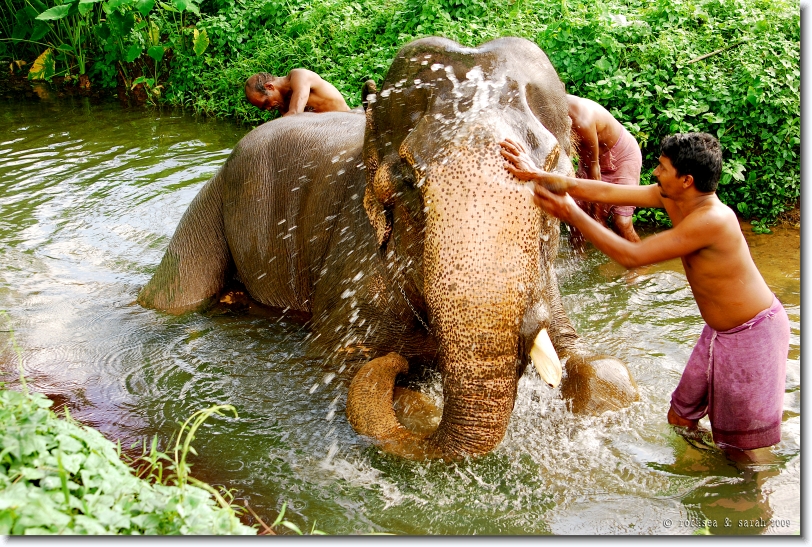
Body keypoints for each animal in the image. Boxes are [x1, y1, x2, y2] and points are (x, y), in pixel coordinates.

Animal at [136, 36, 636, 460]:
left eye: (554, 173)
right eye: (409, 180)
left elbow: (601, 368)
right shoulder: (356, 258)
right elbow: (335, 364)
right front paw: (406, 377)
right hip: (209, 204)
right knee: (175, 295)